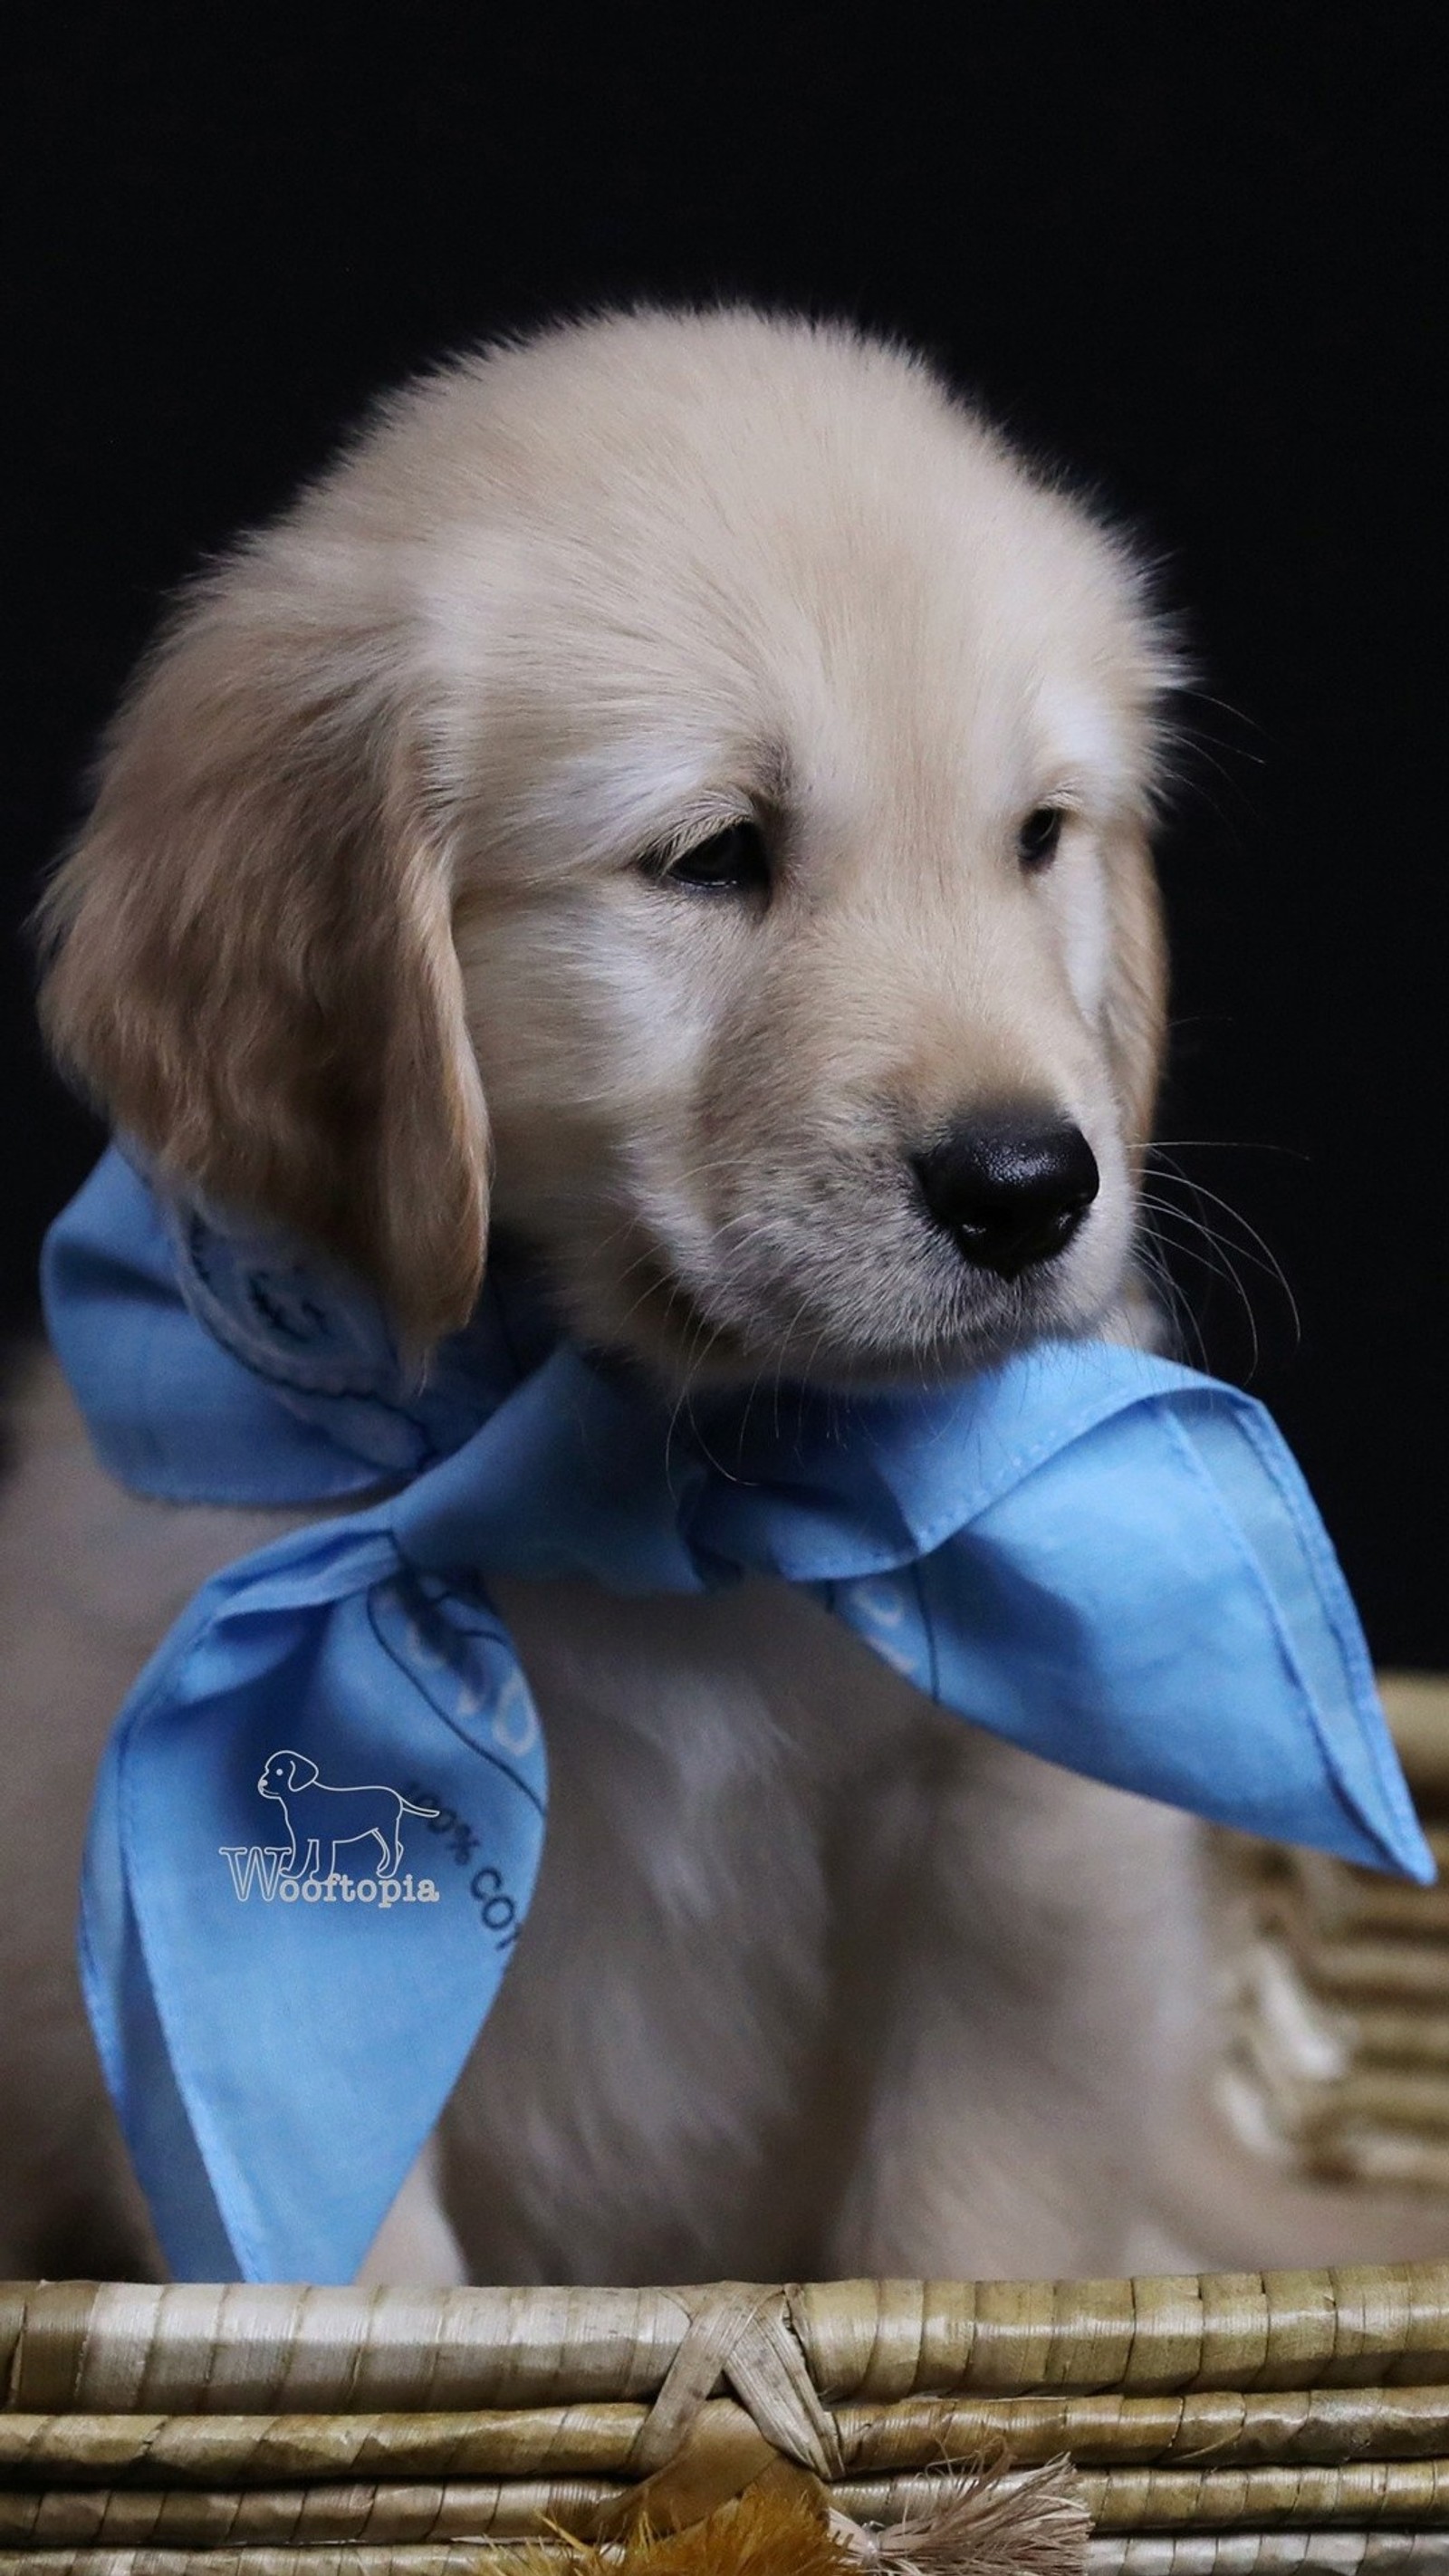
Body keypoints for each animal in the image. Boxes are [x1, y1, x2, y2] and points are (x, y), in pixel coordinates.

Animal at [3, 312, 1441, 2287]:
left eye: (1036, 837)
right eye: (713, 855)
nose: (1029, 1187)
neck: (670, 1473)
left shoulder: (1024, 1853)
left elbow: (969, 2211)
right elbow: (353, 2256)